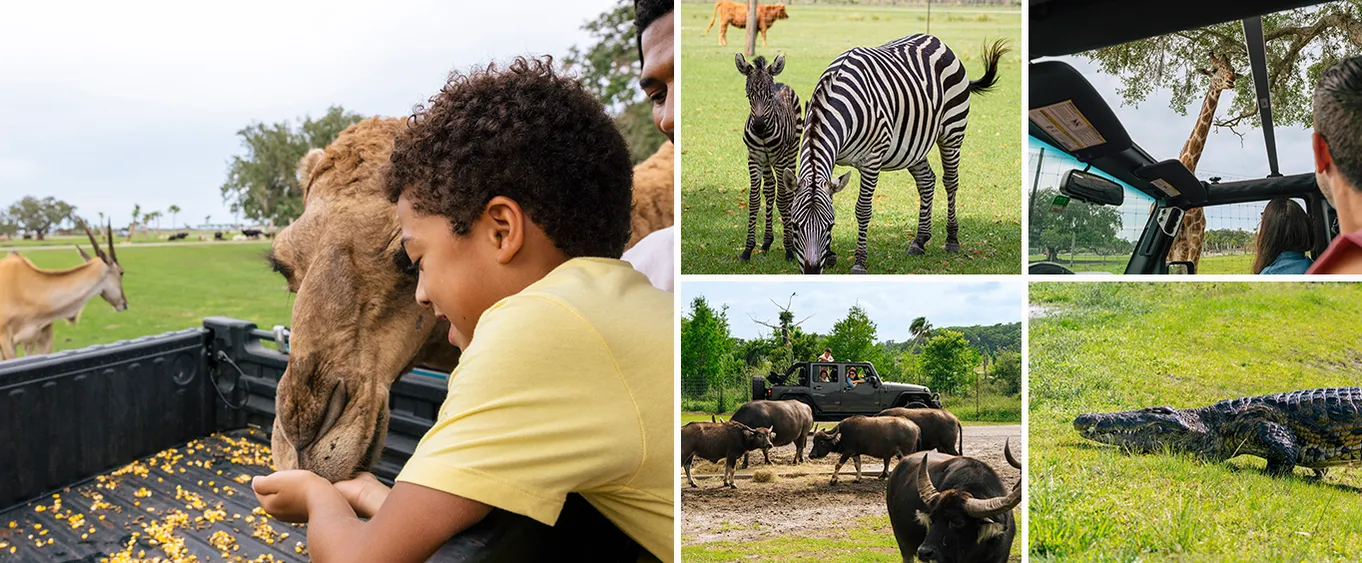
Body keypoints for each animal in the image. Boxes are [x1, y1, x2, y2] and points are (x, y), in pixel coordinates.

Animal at [740, 52, 800, 261]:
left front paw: (789, 249)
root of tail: (781, 83)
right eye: (748, 96)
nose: (758, 126)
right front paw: (748, 249)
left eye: (770, 96)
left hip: (791, 151)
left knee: (788, 192)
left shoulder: (780, 159)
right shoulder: (754, 159)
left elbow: (783, 198)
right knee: (769, 189)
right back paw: (766, 242)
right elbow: (754, 200)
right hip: (767, 162)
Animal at [789, 34, 1013, 272]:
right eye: (794, 226)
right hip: (914, 144)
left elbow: (863, 209)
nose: (812, 270)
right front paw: (831, 255)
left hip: (953, 131)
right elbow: (831, 198)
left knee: (951, 181)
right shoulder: (832, 156)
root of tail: (936, 40)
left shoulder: (872, 159)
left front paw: (859, 262)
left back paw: (952, 239)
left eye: (829, 226)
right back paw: (919, 241)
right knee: (927, 180)